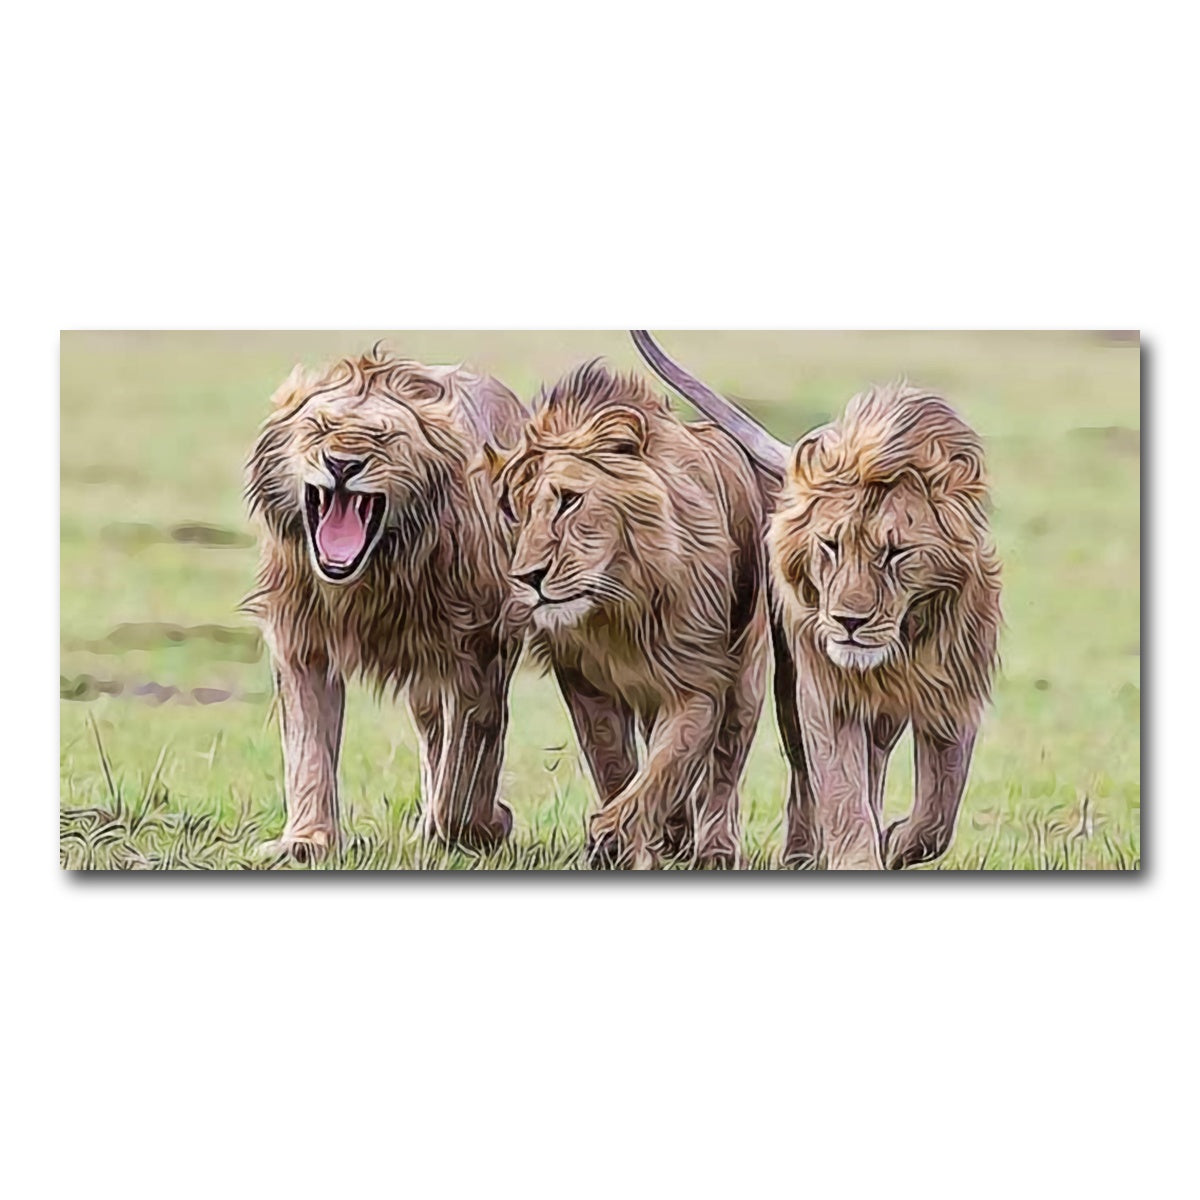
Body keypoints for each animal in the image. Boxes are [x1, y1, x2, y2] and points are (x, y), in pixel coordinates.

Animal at [243, 344, 529, 861]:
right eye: (320, 427)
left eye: (384, 437)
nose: (341, 464)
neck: (373, 576)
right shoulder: (302, 642)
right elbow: (308, 748)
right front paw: (306, 840)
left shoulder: (482, 647)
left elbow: (469, 764)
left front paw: (485, 825)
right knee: (432, 733)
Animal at [491, 361, 771, 869]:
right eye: (513, 511)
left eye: (568, 499)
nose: (528, 577)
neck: (619, 606)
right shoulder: (584, 682)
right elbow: (616, 766)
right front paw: (626, 844)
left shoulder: (699, 681)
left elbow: (665, 767)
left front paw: (614, 837)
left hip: (746, 677)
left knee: (724, 767)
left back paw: (715, 850)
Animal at [630, 332, 1001, 870]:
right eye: (830, 544)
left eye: (895, 552)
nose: (848, 622)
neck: (905, 640)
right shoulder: (826, 693)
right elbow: (841, 789)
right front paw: (861, 856)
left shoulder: (954, 694)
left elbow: (938, 813)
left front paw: (896, 841)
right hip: (788, 684)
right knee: (808, 774)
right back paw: (803, 854)